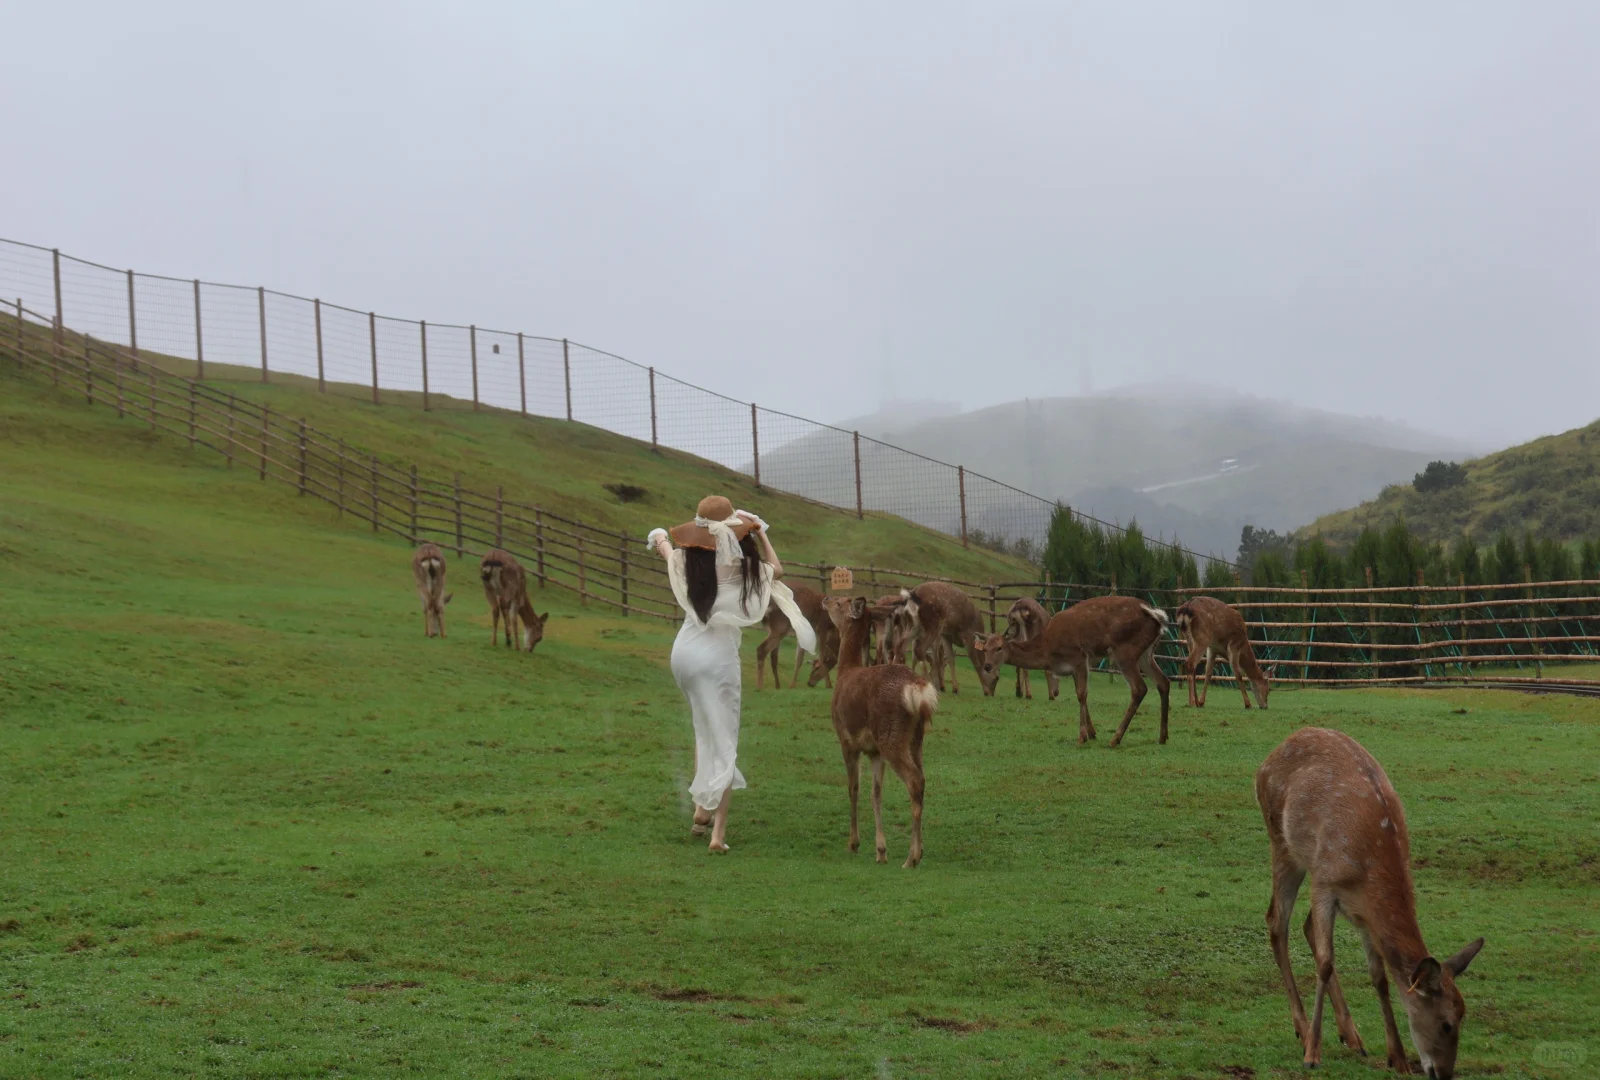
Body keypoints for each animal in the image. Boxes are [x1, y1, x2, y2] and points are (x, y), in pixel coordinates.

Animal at [825, 595, 934, 864]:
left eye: (840, 602)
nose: (825, 598)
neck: (846, 671)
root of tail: (917, 690)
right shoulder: (874, 751)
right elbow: (876, 793)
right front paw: (880, 850)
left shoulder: (846, 739)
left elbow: (853, 788)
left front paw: (853, 843)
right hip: (915, 739)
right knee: (923, 779)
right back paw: (920, 850)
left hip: (891, 735)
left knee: (915, 780)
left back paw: (911, 858)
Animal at [960, 595, 1177, 748]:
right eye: (985, 649)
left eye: (999, 648)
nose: (987, 666)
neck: (1047, 650)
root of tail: (1157, 616)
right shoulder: (1073, 668)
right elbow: (1081, 696)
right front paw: (1092, 732)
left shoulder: (1079, 657)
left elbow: (1081, 694)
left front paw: (1082, 737)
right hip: (1146, 653)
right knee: (1163, 681)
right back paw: (1162, 736)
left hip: (1125, 650)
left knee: (1140, 688)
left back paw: (1115, 738)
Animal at [1248, 729, 1484, 1075]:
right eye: (1445, 1024)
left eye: (1463, 1016)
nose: (1443, 1073)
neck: (1368, 870)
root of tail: (1269, 756)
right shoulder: (1324, 882)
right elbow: (1325, 962)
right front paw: (1312, 1054)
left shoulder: (1364, 915)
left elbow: (1379, 976)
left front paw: (1397, 1058)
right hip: (1282, 842)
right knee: (1277, 922)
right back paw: (1303, 1031)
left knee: (1304, 925)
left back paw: (1352, 1036)